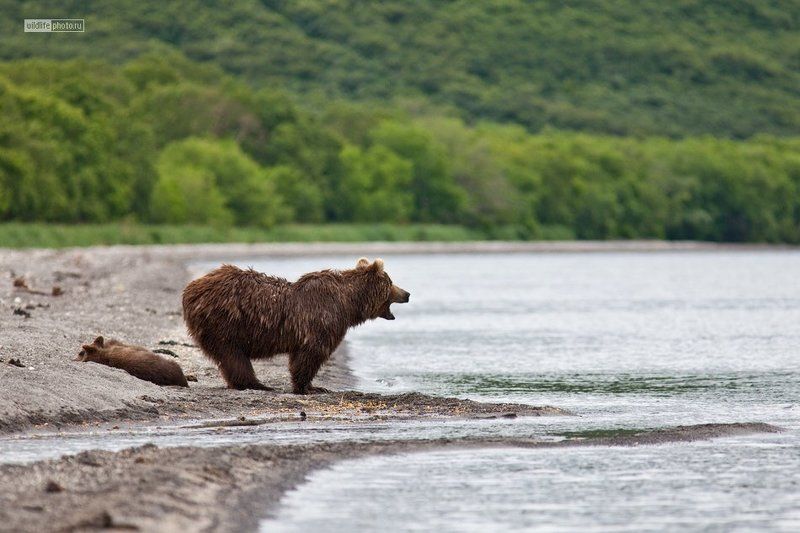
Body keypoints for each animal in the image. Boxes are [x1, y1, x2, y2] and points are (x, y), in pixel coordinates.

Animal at [182, 257, 410, 394]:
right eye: (391, 282)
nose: (407, 293)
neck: (349, 303)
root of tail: (191, 289)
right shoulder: (322, 320)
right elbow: (311, 354)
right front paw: (308, 387)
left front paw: (311, 386)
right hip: (225, 320)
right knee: (233, 354)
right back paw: (257, 384)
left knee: (230, 356)